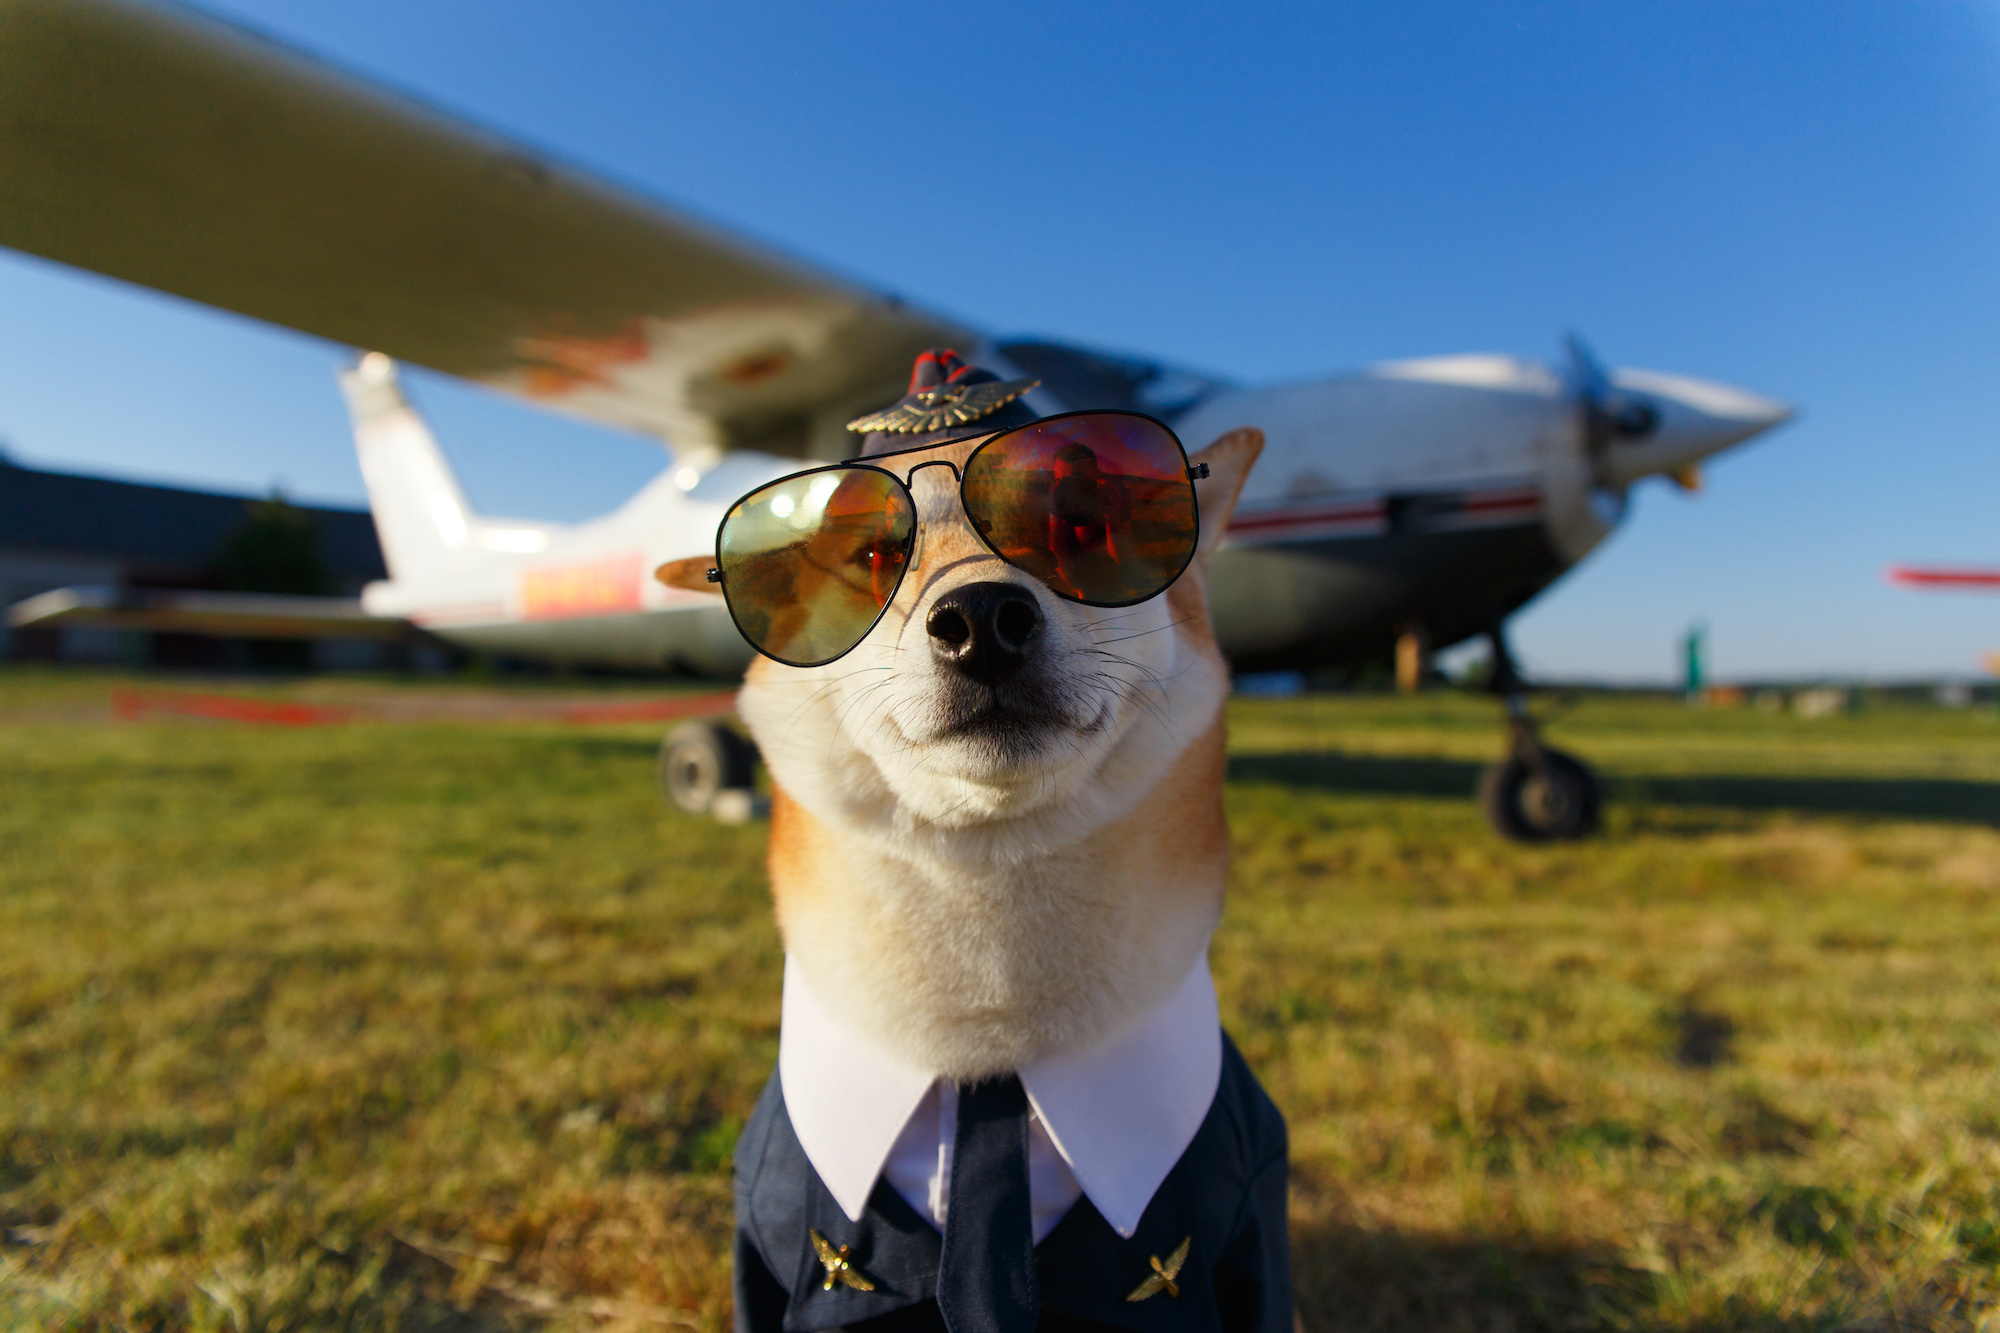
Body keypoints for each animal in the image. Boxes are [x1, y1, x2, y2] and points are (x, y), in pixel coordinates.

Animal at [652, 352, 1280, 1328]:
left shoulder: (1243, 1215)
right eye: (873, 556)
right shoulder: (778, 1238)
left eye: (1078, 525)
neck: (989, 1049)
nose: (983, 616)